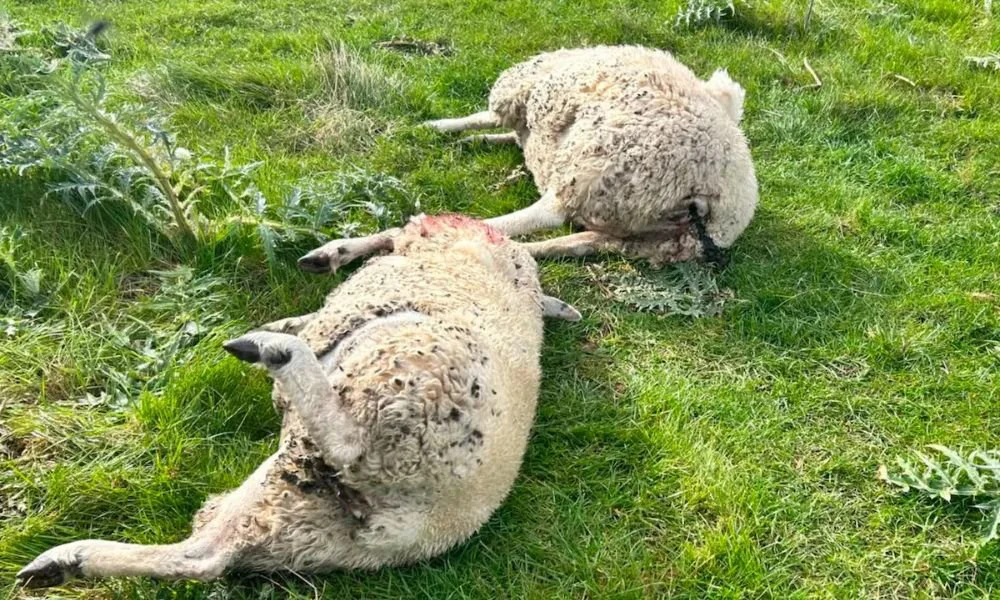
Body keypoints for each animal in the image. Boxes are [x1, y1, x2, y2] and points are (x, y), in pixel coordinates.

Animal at [16, 214, 579, 589]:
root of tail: (416, 523)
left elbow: (389, 233)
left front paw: (323, 267)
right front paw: (315, 277)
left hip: (403, 408)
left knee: (346, 440)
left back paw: (276, 351)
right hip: (295, 510)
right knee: (202, 559)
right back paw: (64, 563)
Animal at [297, 45, 757, 275]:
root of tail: (709, 200)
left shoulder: (523, 99)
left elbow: (482, 116)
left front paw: (440, 126)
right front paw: (474, 139)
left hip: (595, 177)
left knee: (529, 220)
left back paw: (339, 251)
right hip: (639, 236)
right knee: (565, 243)